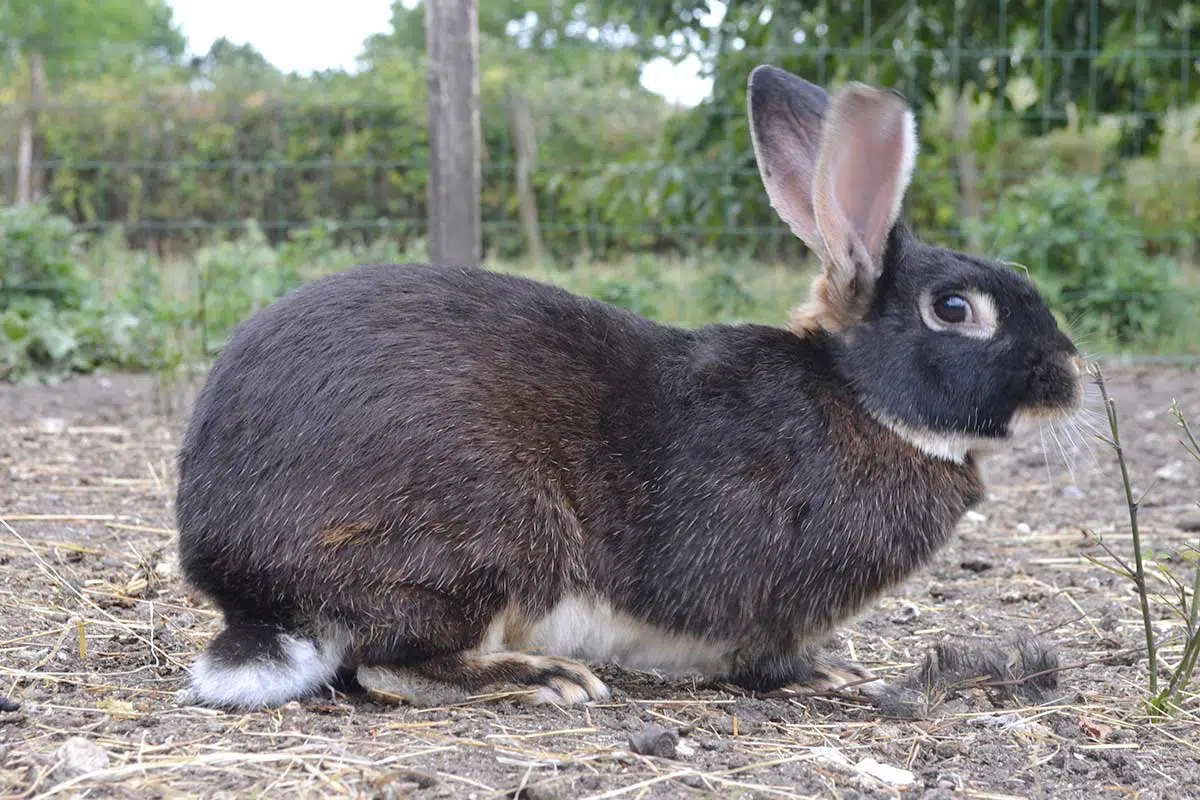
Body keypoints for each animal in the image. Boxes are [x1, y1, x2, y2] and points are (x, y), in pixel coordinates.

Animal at [173, 64, 1086, 712]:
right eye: (956, 310)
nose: (1072, 377)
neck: (861, 401)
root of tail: (253, 591)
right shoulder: (769, 601)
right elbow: (769, 657)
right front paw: (829, 679)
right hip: (487, 539)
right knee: (393, 666)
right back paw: (541, 677)